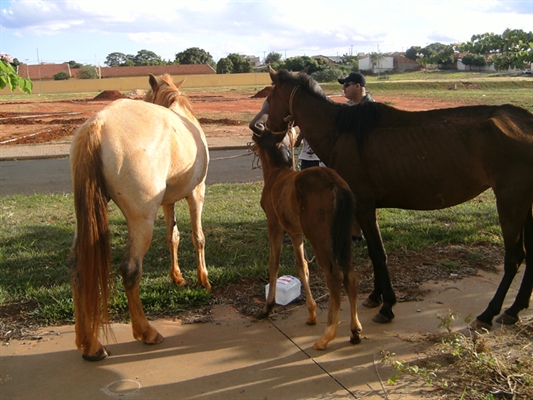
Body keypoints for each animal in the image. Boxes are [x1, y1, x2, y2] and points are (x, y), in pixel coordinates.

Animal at [70, 73, 210, 360]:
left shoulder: (168, 201)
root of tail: (99, 124)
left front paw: (177, 277)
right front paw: (203, 278)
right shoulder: (197, 192)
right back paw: (146, 331)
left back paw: (90, 345)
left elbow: (173, 237)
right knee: (130, 269)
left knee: (78, 270)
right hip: (141, 220)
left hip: (85, 220)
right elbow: (197, 236)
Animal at [250, 126, 362, 348]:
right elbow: (302, 265)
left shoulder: (274, 224)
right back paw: (354, 330)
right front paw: (311, 314)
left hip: (319, 236)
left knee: (335, 275)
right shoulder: (295, 231)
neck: (276, 173)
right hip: (343, 235)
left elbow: (273, 263)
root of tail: (337, 185)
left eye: (265, 134)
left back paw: (327, 336)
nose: (256, 130)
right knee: (350, 274)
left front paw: (267, 308)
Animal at [254, 67, 532, 330]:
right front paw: (376, 296)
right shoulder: (366, 209)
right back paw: (514, 309)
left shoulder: (364, 206)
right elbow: (376, 252)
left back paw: (489, 313)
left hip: (511, 201)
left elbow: (378, 254)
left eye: (270, 96)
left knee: (514, 257)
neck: (341, 132)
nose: (256, 127)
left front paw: (387, 304)